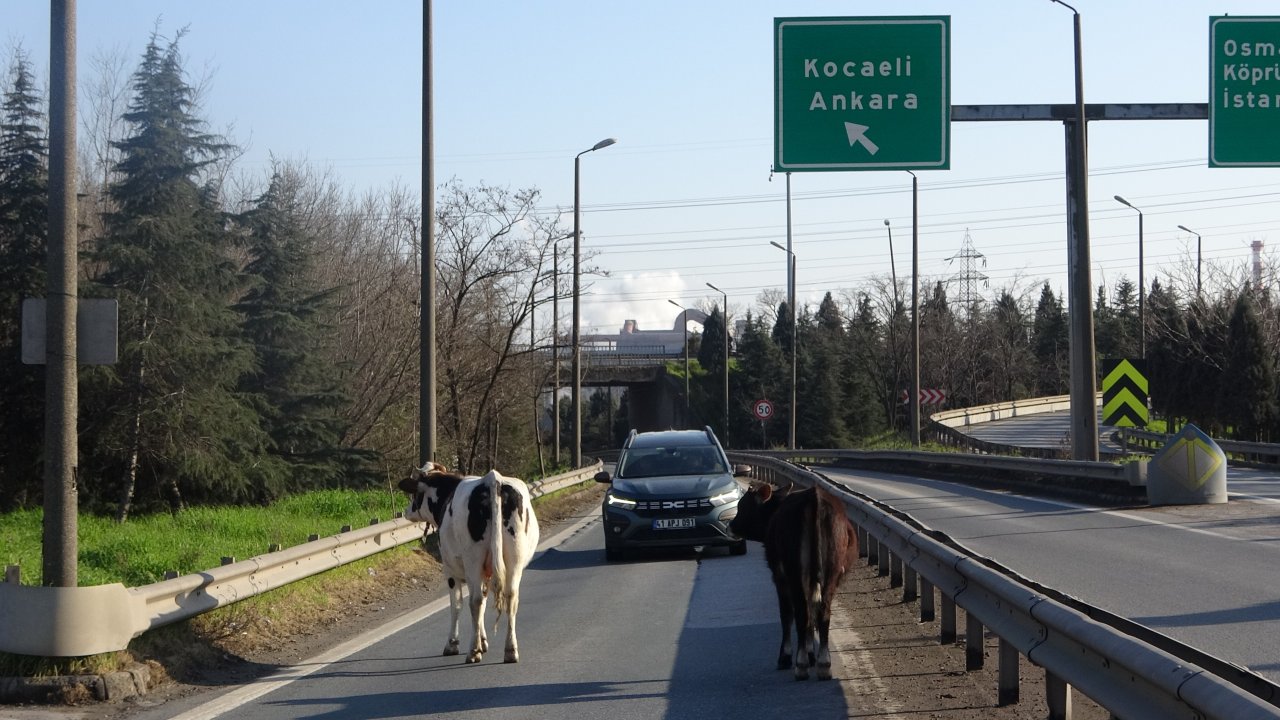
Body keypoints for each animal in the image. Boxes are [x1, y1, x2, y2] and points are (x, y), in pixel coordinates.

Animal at [399, 458, 540, 661]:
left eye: (415, 494)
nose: (406, 512)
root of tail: (492, 479)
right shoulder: (486, 572)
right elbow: (483, 602)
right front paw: (483, 640)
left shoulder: (450, 570)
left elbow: (457, 605)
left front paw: (453, 644)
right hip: (515, 559)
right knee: (510, 597)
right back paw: (510, 650)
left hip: (473, 560)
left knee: (475, 601)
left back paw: (473, 651)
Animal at [732, 481, 860, 676]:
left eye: (743, 506)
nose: (730, 524)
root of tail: (815, 497)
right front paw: (811, 653)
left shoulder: (779, 578)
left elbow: (786, 615)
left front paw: (786, 656)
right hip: (830, 572)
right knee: (822, 613)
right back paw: (824, 663)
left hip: (796, 573)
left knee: (801, 613)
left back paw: (801, 665)